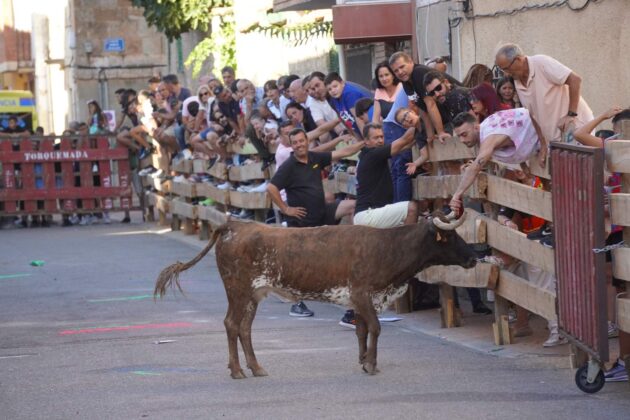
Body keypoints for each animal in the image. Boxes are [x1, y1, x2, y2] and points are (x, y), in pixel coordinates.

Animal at [156, 212, 476, 378]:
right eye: (450, 237)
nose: (474, 257)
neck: (387, 247)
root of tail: (233, 224)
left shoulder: (360, 300)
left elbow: (362, 330)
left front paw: (363, 360)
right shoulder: (363, 294)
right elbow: (375, 328)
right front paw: (371, 364)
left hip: (254, 294)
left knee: (244, 328)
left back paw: (256, 367)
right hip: (238, 289)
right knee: (232, 325)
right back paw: (237, 370)